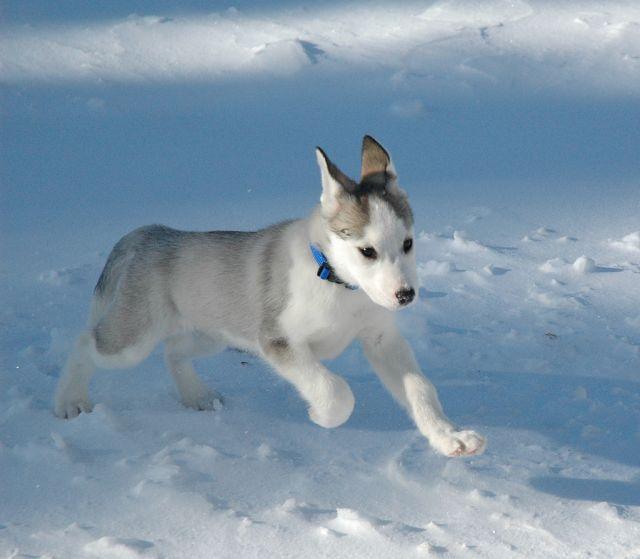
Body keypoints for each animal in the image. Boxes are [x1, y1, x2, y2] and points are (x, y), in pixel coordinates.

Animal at [55, 137, 484, 460]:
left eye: (408, 244)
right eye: (367, 251)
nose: (405, 295)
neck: (337, 284)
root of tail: (148, 233)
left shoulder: (381, 339)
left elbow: (421, 389)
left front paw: (450, 437)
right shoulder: (277, 340)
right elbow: (334, 390)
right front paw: (320, 416)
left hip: (212, 332)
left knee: (173, 351)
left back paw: (197, 397)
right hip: (133, 338)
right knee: (84, 342)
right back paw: (70, 402)